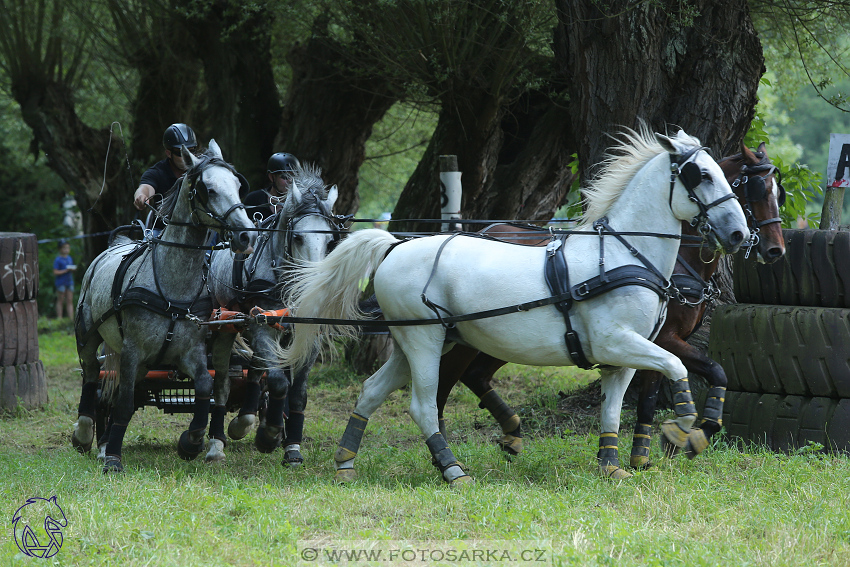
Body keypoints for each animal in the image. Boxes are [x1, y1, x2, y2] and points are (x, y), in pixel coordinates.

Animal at [70, 142, 255, 474]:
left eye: (237, 186)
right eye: (207, 189)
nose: (247, 234)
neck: (172, 289)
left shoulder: (190, 352)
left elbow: (205, 386)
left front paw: (192, 441)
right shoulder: (132, 350)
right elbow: (124, 403)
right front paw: (113, 457)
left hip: (143, 363)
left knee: (119, 390)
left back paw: (104, 441)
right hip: (89, 337)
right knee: (93, 378)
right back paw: (86, 434)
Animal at [204, 165, 340, 466]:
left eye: (330, 240)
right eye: (298, 237)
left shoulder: (306, 336)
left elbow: (297, 393)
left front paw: (292, 447)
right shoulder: (261, 325)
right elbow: (278, 382)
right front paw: (269, 434)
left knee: (256, 370)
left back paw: (245, 418)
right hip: (226, 325)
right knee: (221, 384)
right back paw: (217, 442)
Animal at [280, 126, 748, 486]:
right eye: (701, 175)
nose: (740, 234)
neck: (621, 255)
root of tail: (396, 245)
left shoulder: (623, 357)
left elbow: (614, 409)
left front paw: (612, 465)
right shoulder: (617, 342)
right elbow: (677, 366)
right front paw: (686, 430)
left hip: (421, 342)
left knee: (373, 391)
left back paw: (345, 462)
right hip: (425, 342)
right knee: (424, 405)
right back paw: (453, 470)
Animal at [434, 143, 784, 470]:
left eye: (778, 192)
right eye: (755, 189)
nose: (775, 250)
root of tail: (485, 229)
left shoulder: (656, 340)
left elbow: (693, 381)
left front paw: (648, 453)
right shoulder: (663, 339)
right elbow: (699, 376)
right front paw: (685, 436)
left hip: (507, 340)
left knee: (476, 375)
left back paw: (510, 432)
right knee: (444, 384)